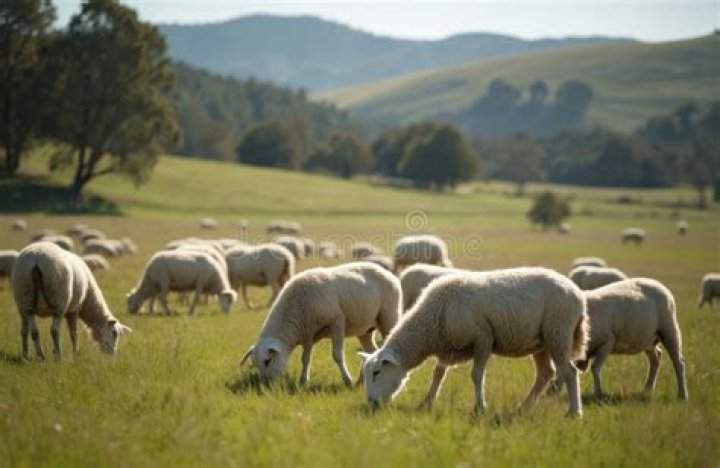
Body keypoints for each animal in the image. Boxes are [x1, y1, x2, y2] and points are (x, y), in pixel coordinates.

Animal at [240, 262, 402, 388]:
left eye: (267, 361)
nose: (266, 385)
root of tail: (388, 273)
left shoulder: (337, 321)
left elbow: (337, 355)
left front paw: (347, 381)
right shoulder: (308, 333)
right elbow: (305, 358)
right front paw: (303, 382)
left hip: (389, 316)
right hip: (365, 329)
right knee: (371, 350)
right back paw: (361, 382)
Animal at [361, 267, 588, 417]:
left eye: (377, 372)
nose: (371, 403)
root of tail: (578, 295)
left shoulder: (483, 338)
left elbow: (476, 375)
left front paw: (480, 407)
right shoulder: (447, 346)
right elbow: (438, 374)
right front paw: (426, 402)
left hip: (558, 333)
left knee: (569, 372)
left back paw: (574, 412)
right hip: (541, 342)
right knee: (545, 374)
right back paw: (522, 408)